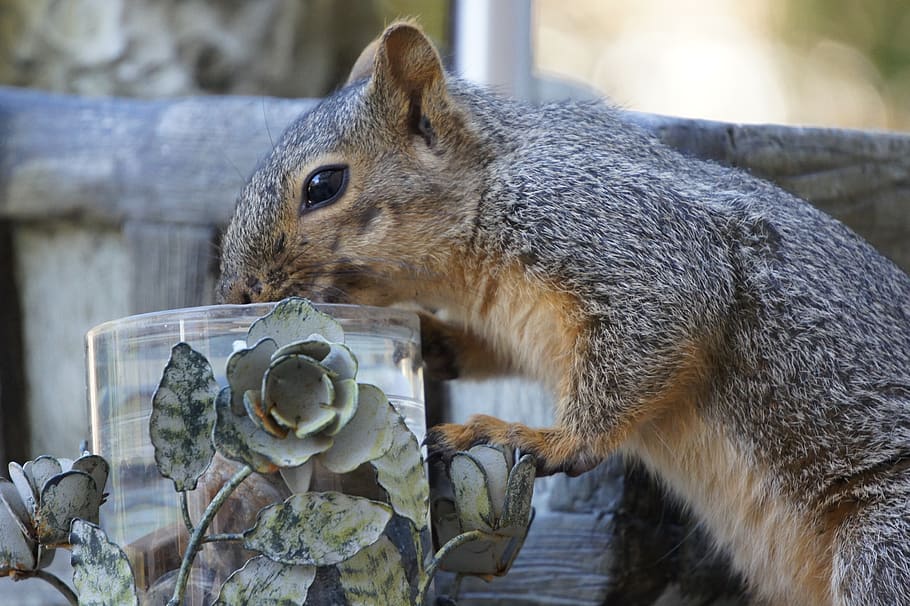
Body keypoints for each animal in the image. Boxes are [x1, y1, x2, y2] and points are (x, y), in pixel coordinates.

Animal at [217, 21, 910, 606]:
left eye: (323, 185)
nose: (236, 294)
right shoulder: (512, 325)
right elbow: (482, 351)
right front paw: (425, 340)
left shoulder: (624, 235)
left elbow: (658, 322)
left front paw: (541, 438)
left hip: (882, 547)